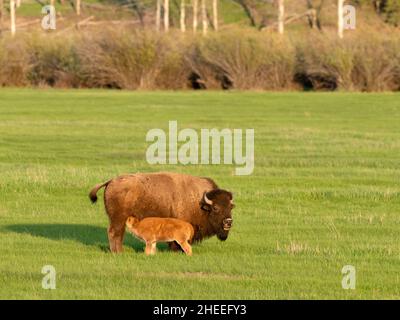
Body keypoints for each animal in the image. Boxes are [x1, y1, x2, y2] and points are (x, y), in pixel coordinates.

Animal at [89, 172, 233, 252]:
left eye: (231, 207)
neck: (199, 202)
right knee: (115, 233)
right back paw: (118, 252)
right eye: (216, 208)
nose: (228, 222)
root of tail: (111, 181)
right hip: (118, 219)